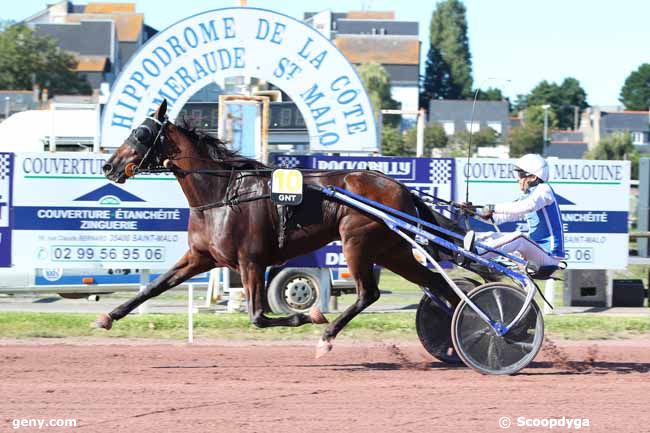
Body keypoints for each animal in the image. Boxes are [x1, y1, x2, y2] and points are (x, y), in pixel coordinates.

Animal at [97, 99, 460, 356]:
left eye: (141, 133)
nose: (109, 165)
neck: (222, 194)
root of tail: (400, 188)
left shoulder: (251, 261)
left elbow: (258, 316)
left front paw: (309, 316)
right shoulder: (201, 256)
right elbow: (153, 287)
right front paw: (108, 316)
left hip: (357, 242)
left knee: (368, 293)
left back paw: (326, 337)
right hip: (391, 250)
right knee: (434, 283)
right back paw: (457, 337)